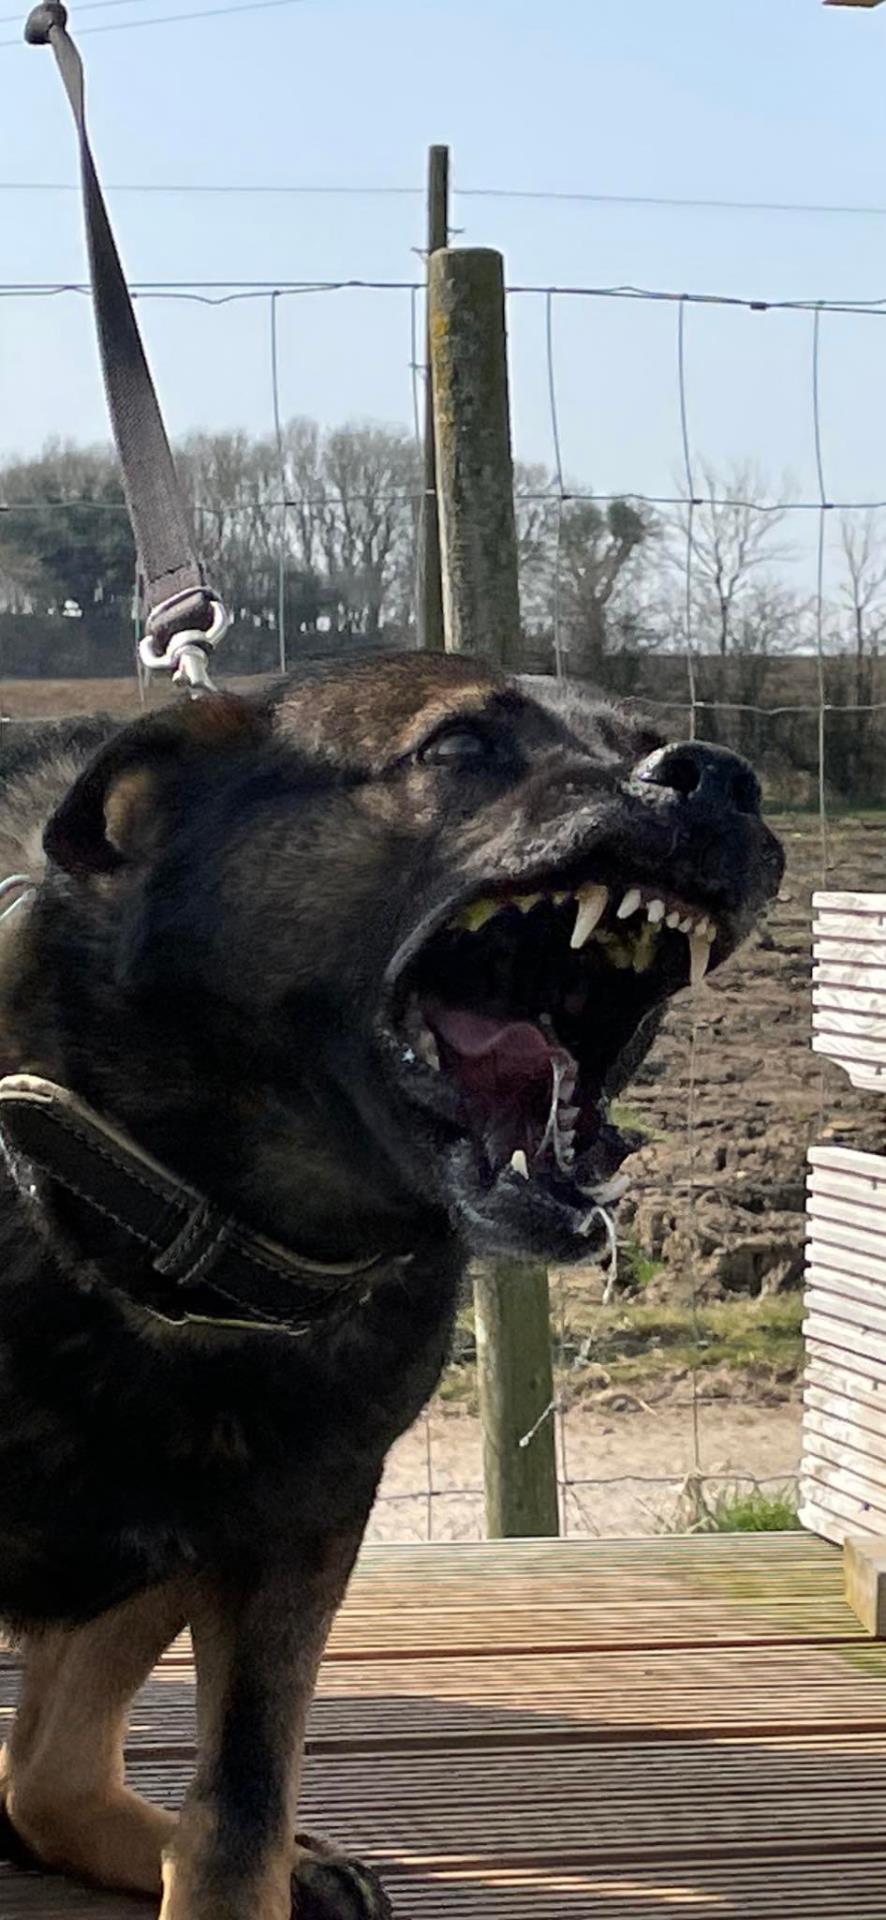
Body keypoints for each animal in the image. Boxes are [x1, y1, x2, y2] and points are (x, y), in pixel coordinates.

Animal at [0, 648, 784, 1920]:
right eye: (458, 746)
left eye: (645, 738)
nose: (716, 779)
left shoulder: (300, 1530)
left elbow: (239, 1812)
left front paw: (251, 1869)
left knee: (45, 1780)